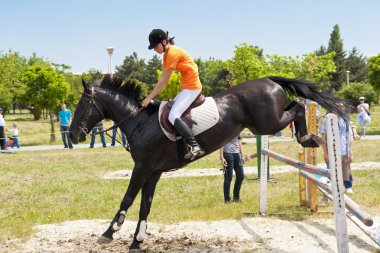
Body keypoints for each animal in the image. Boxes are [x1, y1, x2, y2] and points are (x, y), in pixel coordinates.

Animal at [68, 74, 348, 249]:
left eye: (81, 106)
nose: (72, 136)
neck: (139, 121)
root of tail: (269, 80)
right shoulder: (153, 172)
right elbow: (145, 206)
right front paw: (137, 242)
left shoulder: (142, 168)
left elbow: (127, 198)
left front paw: (108, 233)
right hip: (266, 122)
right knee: (297, 104)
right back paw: (308, 138)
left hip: (267, 122)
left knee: (299, 105)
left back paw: (309, 137)